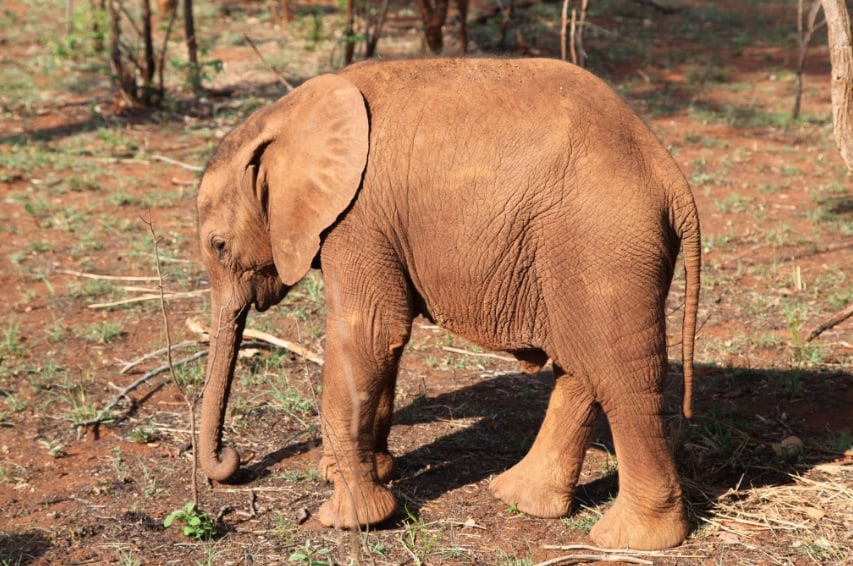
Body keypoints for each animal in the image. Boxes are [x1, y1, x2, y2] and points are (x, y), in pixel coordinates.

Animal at [195, 57, 701, 551]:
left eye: (218, 246)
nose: (234, 463)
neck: (286, 115)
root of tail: (669, 173)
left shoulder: (357, 219)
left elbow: (367, 335)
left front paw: (351, 519)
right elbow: (385, 343)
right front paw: (366, 473)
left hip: (603, 243)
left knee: (621, 376)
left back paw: (634, 539)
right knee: (580, 366)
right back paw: (518, 498)